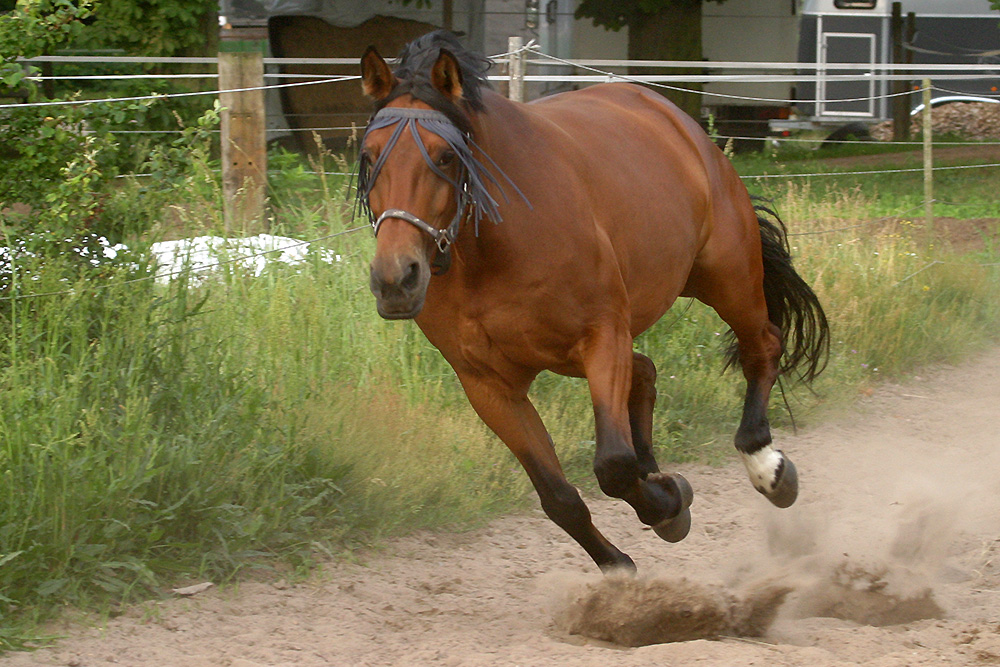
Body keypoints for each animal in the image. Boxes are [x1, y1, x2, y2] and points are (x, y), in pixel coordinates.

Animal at [358, 32, 828, 576]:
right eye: (369, 156)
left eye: (445, 156)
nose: (396, 279)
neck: (494, 248)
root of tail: (676, 120)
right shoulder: (489, 386)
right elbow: (559, 496)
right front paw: (621, 557)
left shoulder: (601, 336)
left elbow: (612, 467)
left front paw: (668, 503)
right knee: (645, 370)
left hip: (724, 276)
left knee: (761, 346)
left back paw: (767, 467)